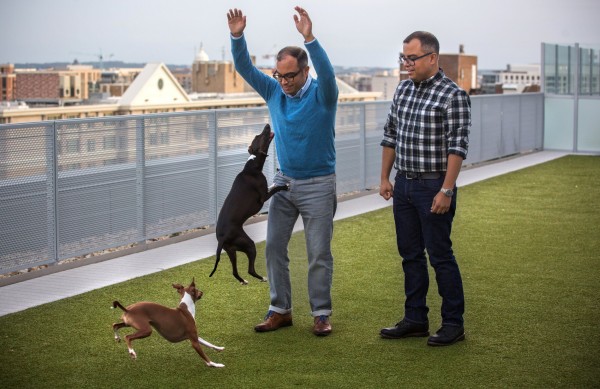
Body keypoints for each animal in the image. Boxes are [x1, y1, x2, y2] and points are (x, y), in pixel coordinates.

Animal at [209, 123, 288, 284]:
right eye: (260, 136)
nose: (267, 125)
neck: (252, 165)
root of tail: (222, 238)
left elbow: (273, 185)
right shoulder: (263, 197)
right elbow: (276, 188)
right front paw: (285, 186)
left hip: (232, 251)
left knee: (235, 271)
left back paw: (243, 281)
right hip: (249, 244)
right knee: (250, 270)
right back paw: (263, 278)